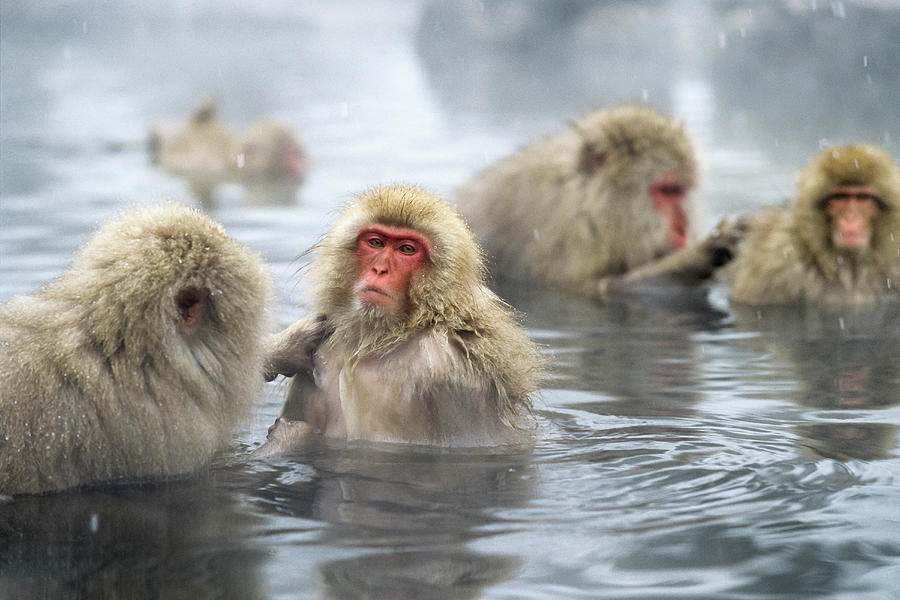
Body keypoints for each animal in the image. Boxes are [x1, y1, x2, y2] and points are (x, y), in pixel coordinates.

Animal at [255, 183, 548, 454]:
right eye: (376, 242)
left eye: (407, 249)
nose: (379, 269)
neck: (385, 337)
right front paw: (288, 347)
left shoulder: (449, 373)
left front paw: (291, 437)